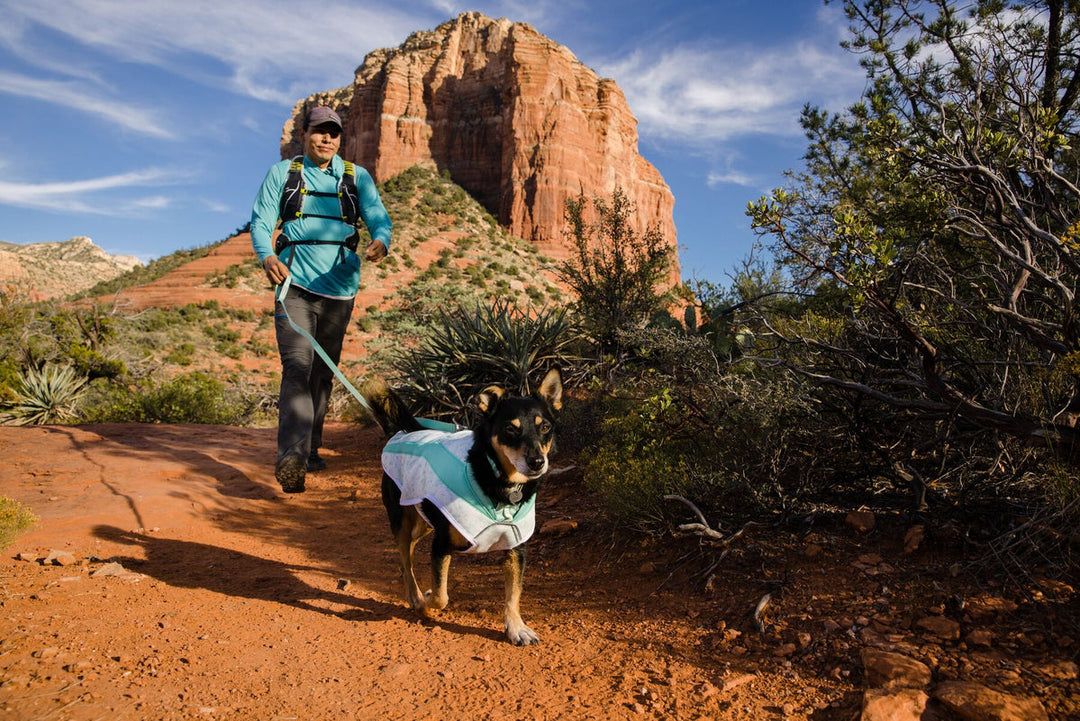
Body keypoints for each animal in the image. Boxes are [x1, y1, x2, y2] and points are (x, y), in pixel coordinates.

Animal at [365, 369, 565, 643]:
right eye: (509, 429)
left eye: (545, 427)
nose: (537, 462)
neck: (498, 480)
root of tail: (402, 431)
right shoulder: (441, 545)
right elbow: (441, 595)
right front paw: (427, 599)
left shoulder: (517, 547)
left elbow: (513, 593)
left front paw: (516, 627)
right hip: (402, 521)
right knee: (405, 561)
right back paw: (415, 597)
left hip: (422, 523)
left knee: (409, 554)